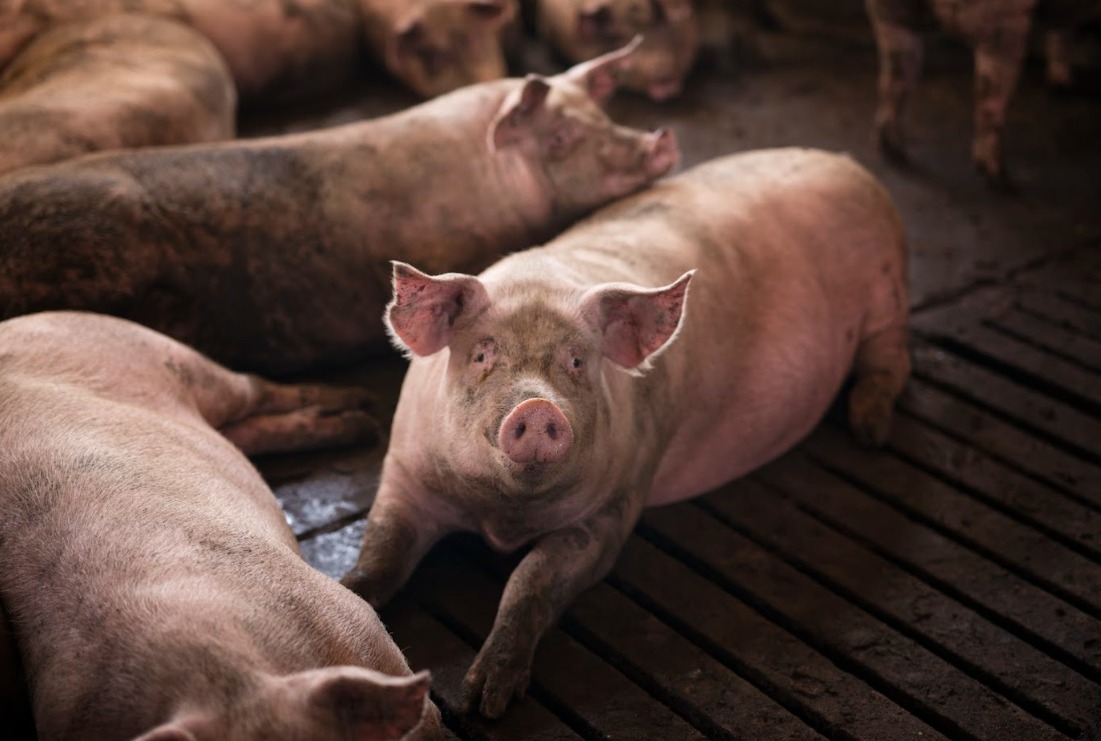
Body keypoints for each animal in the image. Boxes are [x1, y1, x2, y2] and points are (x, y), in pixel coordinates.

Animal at [0, 310, 444, 740]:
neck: (229, 680)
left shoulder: (358, 623)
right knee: (246, 429)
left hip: (170, 356)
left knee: (257, 387)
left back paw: (363, 412)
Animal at [341, 147, 911, 718]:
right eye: (482, 354)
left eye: (577, 361)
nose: (538, 407)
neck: (502, 518)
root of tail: (846, 164)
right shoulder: (404, 474)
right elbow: (382, 550)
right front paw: (346, 592)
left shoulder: (613, 508)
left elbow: (530, 581)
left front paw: (484, 702)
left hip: (888, 291)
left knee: (892, 359)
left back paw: (871, 432)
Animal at [866, 0, 1101, 187]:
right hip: (1003, 18)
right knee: (991, 94)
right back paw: (997, 175)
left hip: (891, 11)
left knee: (895, 74)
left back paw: (892, 148)